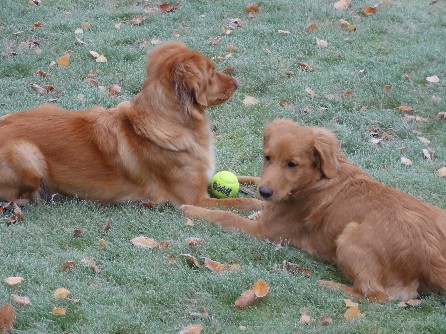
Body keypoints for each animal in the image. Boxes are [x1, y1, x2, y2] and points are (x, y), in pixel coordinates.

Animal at [0, 43, 262, 211]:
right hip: (25, 153)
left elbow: (252, 177)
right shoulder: (195, 200)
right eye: (211, 73)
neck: (173, 122)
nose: (237, 82)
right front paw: (260, 207)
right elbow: (241, 202)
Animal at [182, 118, 446, 302]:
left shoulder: (263, 231)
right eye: (267, 157)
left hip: (349, 237)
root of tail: (431, 257)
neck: (315, 180)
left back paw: (328, 285)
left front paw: (190, 209)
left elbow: (224, 214)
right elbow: (250, 180)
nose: (265, 192)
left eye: (292, 164)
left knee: (375, 295)